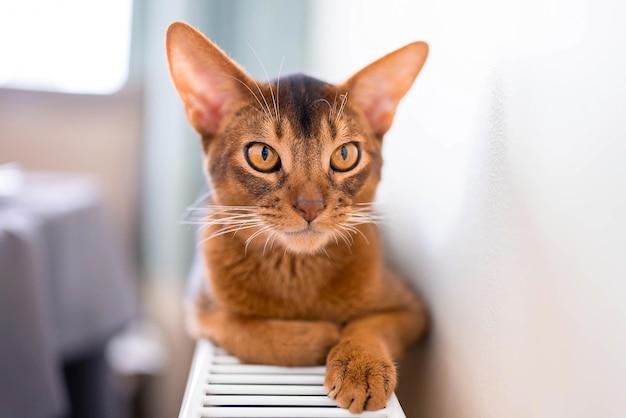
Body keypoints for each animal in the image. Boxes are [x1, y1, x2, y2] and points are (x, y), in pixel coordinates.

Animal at [166, 21, 426, 414]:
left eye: (346, 155)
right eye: (262, 154)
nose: (310, 207)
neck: (296, 274)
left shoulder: (413, 310)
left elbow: (370, 325)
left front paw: (361, 366)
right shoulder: (200, 311)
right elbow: (246, 329)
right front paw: (322, 336)